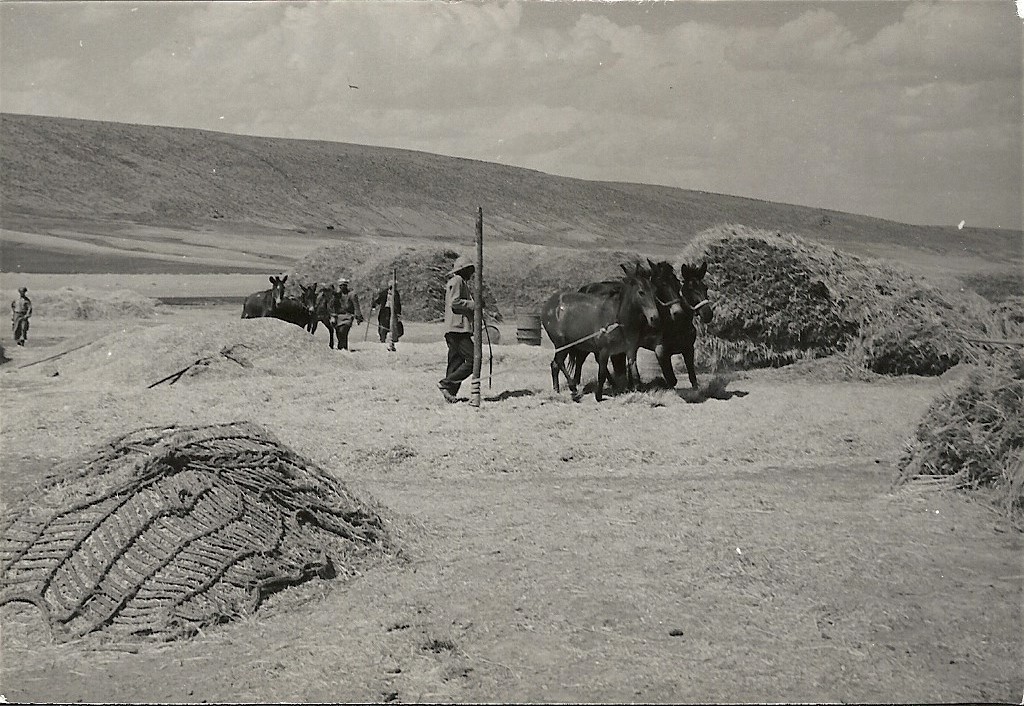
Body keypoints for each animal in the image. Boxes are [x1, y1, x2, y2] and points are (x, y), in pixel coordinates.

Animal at [540, 262, 659, 399]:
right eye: (641, 292)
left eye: (655, 291)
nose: (654, 318)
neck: (618, 320)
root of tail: (549, 304)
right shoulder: (604, 351)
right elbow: (601, 374)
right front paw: (599, 396)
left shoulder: (630, 351)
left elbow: (635, 375)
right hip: (562, 343)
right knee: (559, 363)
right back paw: (573, 387)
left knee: (555, 365)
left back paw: (557, 390)